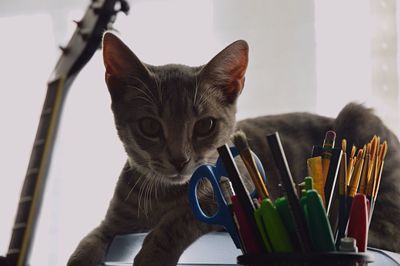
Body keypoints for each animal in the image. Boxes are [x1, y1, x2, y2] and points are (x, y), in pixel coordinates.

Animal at [69, 32, 400, 266]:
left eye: (205, 125)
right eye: (149, 126)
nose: (179, 160)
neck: (163, 194)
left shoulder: (236, 196)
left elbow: (182, 217)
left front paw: (153, 255)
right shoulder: (114, 222)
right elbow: (89, 239)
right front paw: (81, 255)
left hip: (361, 120)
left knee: (386, 230)